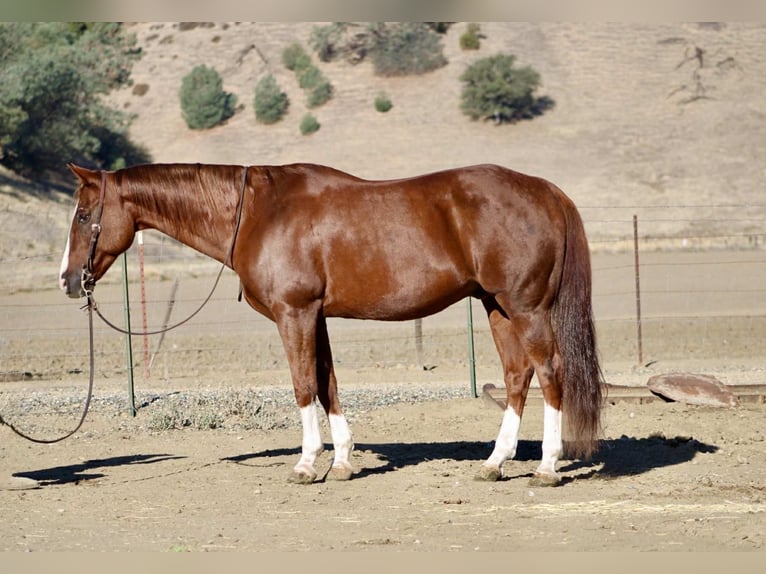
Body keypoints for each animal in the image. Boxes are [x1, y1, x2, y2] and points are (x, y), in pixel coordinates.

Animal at [59, 162, 603, 486]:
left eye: (84, 214)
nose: (67, 280)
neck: (257, 212)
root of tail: (546, 191)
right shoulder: (315, 316)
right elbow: (328, 384)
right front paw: (341, 461)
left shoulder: (294, 313)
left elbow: (303, 385)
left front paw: (306, 463)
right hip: (497, 307)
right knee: (517, 376)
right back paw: (494, 463)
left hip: (526, 307)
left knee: (550, 373)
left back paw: (548, 466)